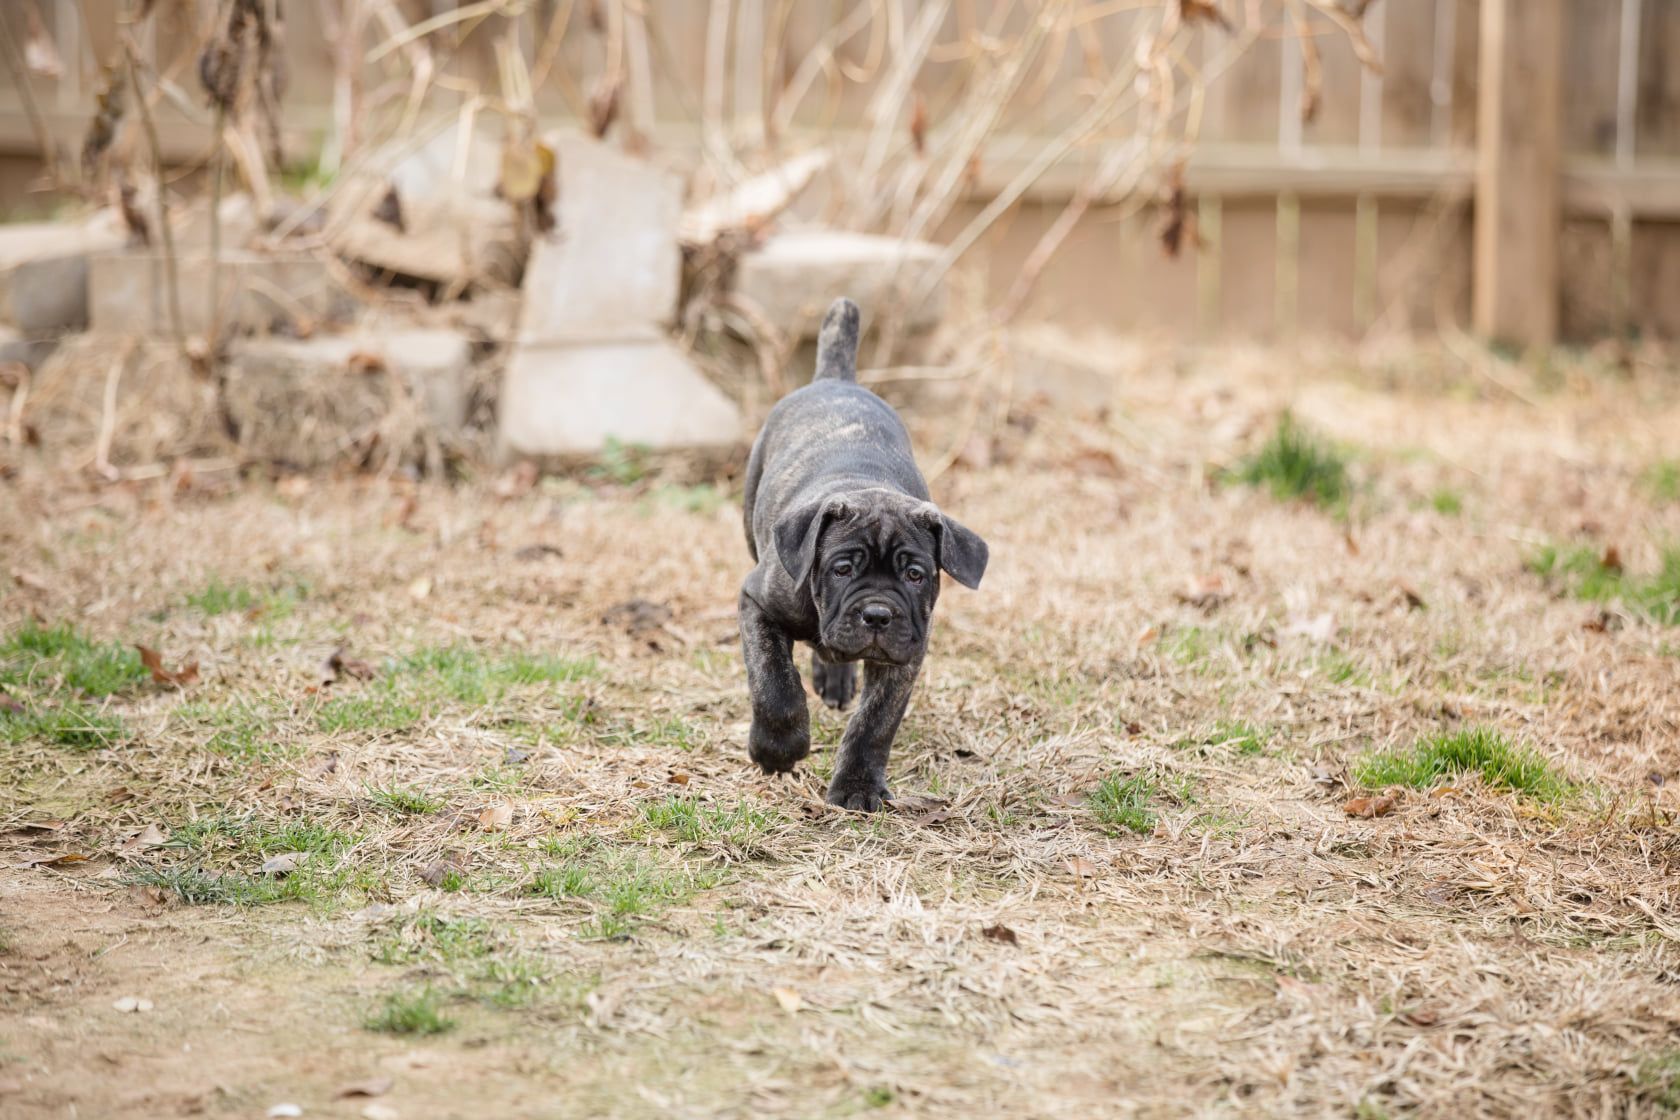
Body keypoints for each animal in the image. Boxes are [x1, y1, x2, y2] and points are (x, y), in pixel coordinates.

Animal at [735, 293, 981, 809]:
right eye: (842, 569)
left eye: (916, 575)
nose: (878, 614)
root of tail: (836, 379)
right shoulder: (757, 604)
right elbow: (775, 686)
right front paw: (777, 750)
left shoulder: (907, 652)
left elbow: (875, 723)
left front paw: (857, 787)